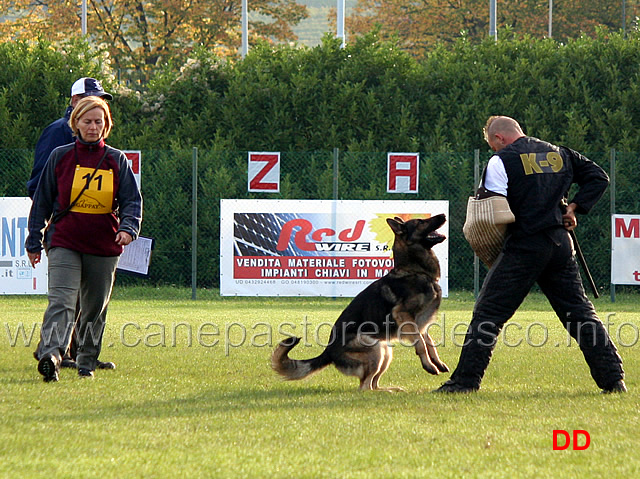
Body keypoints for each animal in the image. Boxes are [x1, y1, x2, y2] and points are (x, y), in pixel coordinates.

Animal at [272, 214, 448, 390]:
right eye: (421, 222)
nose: (444, 216)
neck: (415, 271)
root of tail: (328, 352)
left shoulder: (420, 323)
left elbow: (429, 342)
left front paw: (438, 362)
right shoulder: (403, 315)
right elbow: (421, 344)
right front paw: (429, 366)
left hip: (385, 350)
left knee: (373, 385)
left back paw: (391, 389)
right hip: (375, 348)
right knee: (365, 387)